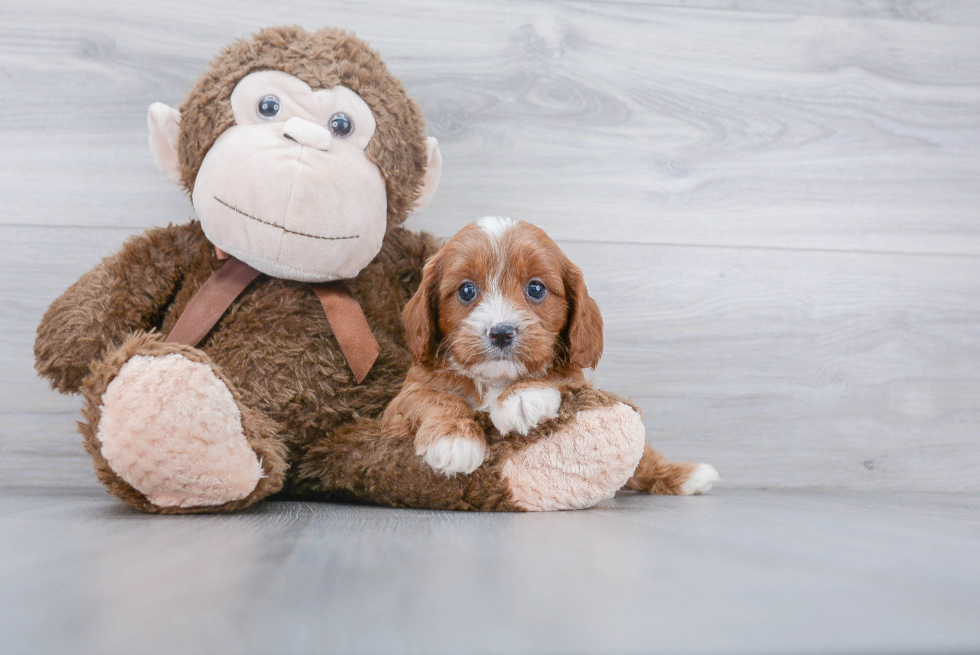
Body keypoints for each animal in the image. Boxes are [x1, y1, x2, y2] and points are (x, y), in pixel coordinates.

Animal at [386, 218, 600, 474]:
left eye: (536, 289)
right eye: (466, 290)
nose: (501, 333)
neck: (494, 379)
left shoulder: (579, 381)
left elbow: (560, 374)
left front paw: (523, 395)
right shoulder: (398, 405)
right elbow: (431, 396)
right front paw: (454, 438)